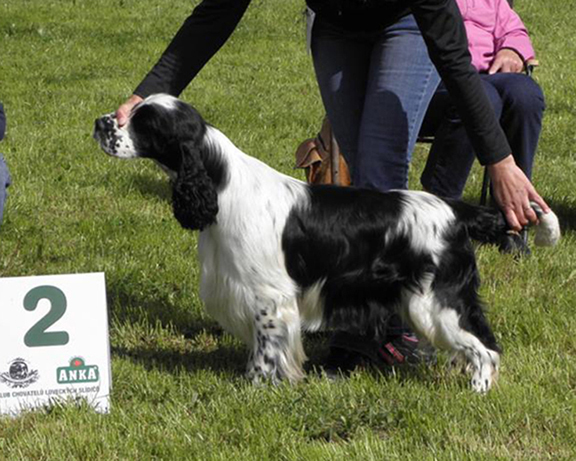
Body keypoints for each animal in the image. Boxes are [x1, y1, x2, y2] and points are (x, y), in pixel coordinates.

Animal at [93, 93, 560, 392]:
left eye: (144, 123)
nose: (101, 123)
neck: (221, 183)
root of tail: (456, 210)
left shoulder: (269, 298)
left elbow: (266, 349)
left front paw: (255, 386)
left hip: (435, 302)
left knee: (486, 348)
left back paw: (477, 391)